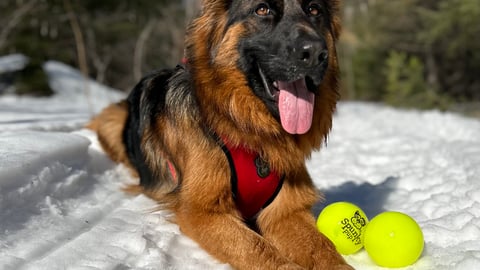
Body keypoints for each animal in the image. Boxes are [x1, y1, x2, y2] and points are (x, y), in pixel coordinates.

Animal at [89, 0, 352, 268]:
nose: (316, 53)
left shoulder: (286, 211)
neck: (248, 132)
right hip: (112, 121)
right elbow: (257, 249)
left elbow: (323, 250)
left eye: (314, 10)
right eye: (262, 10)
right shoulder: (203, 211)